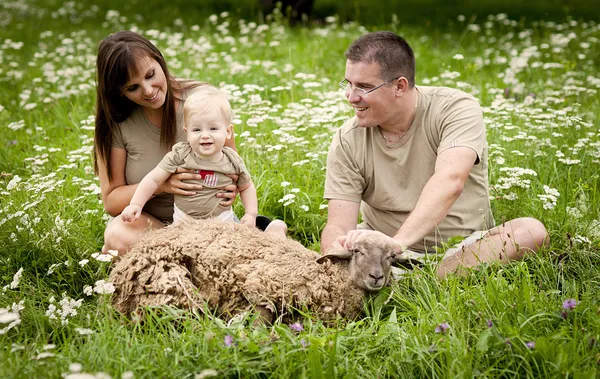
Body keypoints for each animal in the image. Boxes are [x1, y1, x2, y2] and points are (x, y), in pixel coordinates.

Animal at [110, 218, 406, 322]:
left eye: (391, 257)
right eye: (357, 251)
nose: (376, 277)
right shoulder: (262, 286)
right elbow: (260, 321)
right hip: (174, 287)